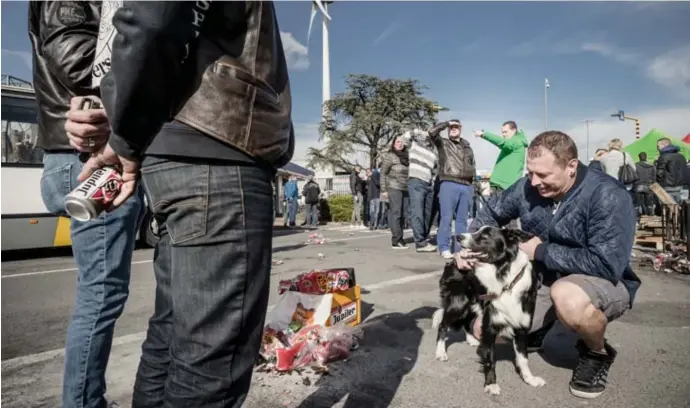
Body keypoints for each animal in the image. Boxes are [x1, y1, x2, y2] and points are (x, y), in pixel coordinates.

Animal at [432, 226, 544, 396]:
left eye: (485, 236)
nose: (458, 237)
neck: (504, 278)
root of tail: (453, 260)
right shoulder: (490, 326)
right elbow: (490, 360)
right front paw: (491, 384)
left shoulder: (521, 326)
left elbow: (523, 359)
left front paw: (529, 379)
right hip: (459, 303)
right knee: (443, 325)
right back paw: (440, 352)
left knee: (467, 321)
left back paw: (472, 340)